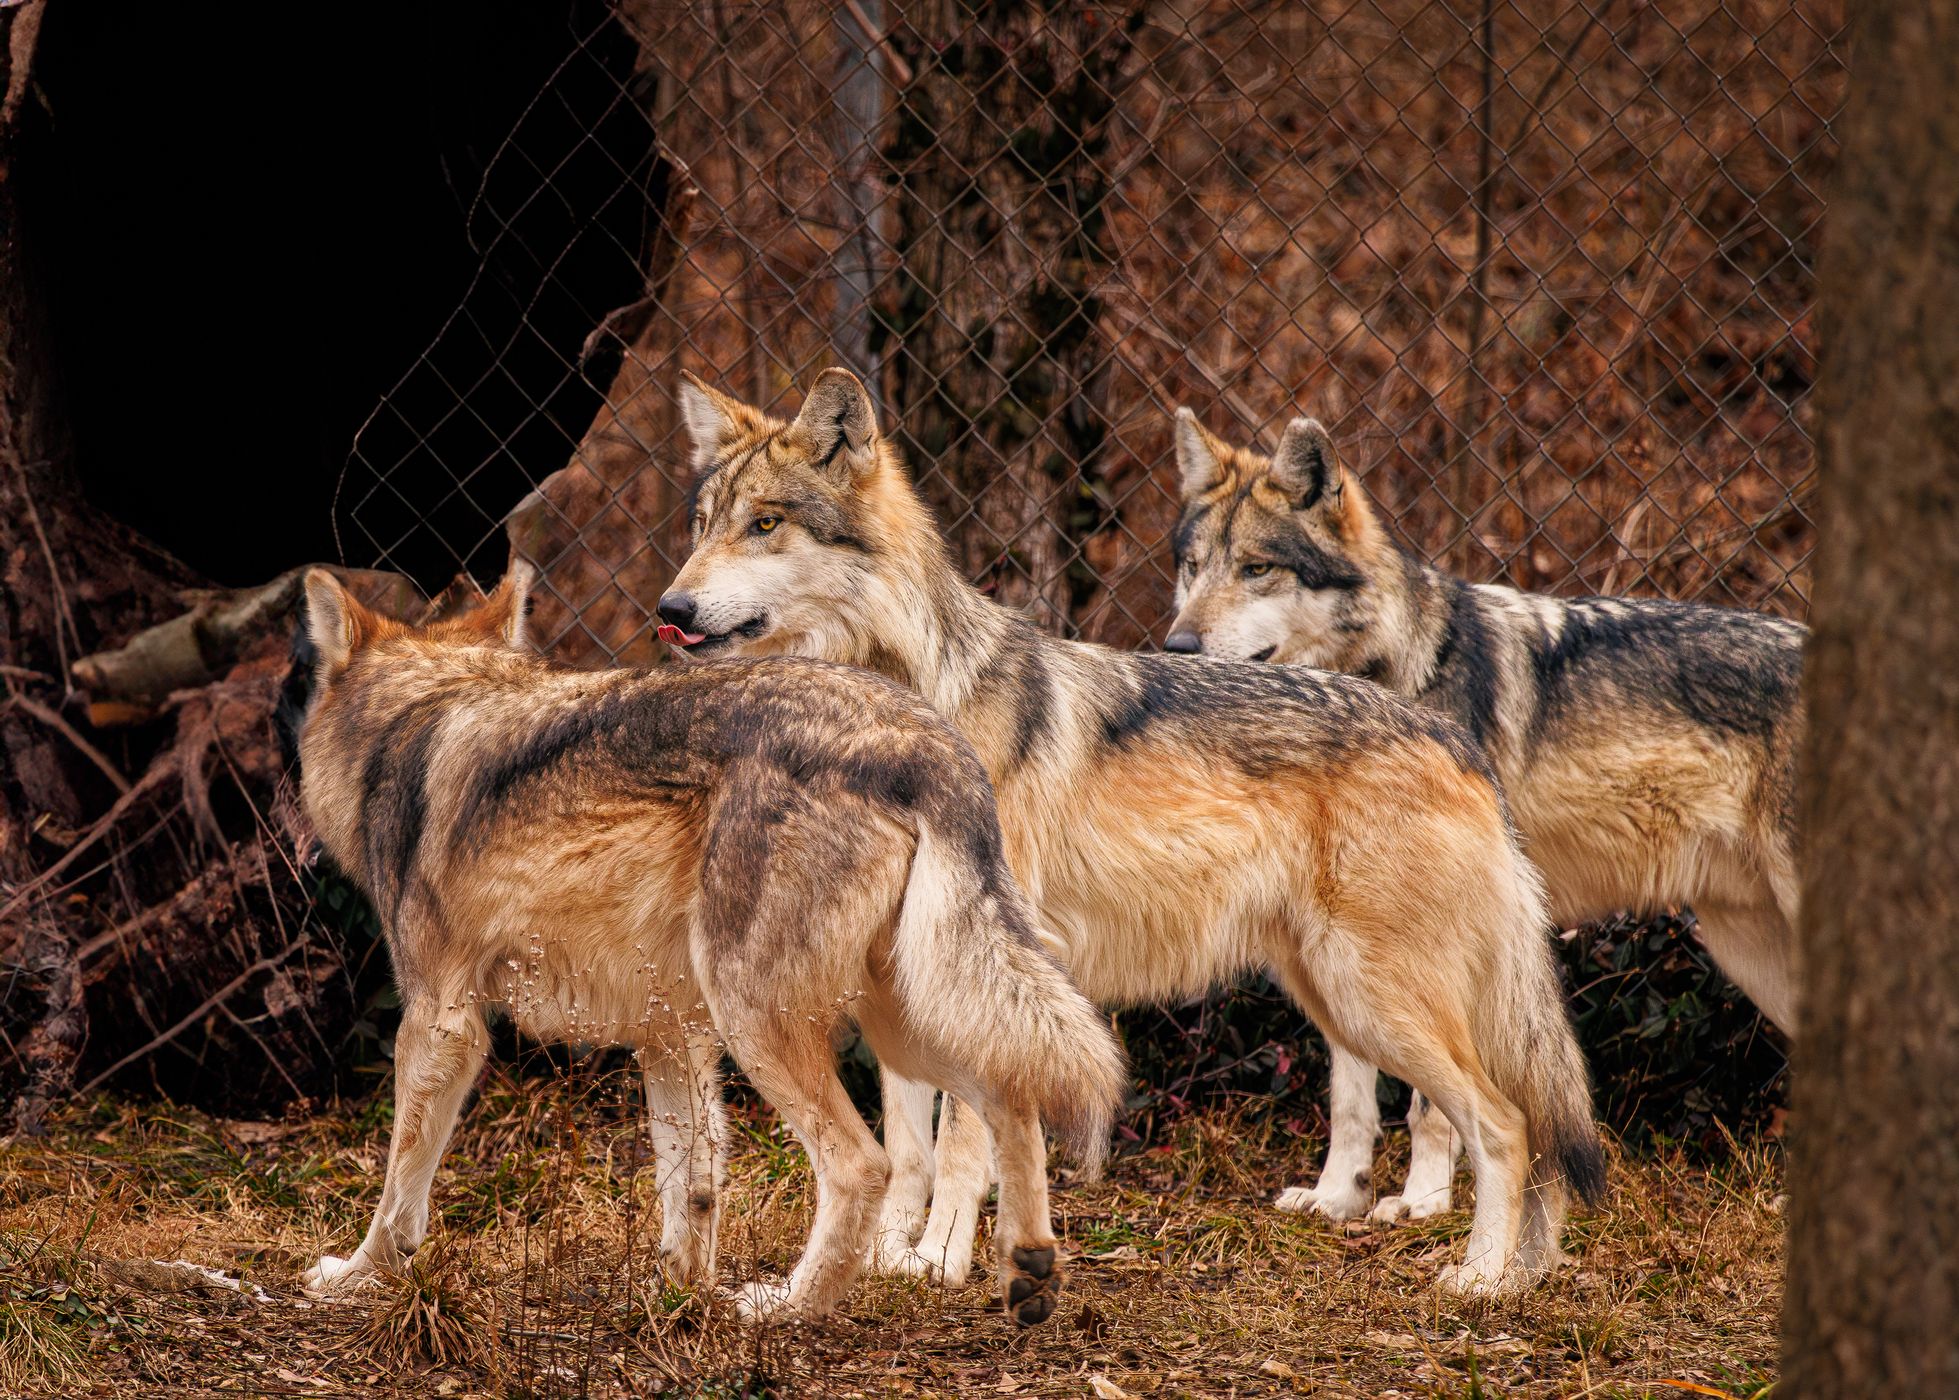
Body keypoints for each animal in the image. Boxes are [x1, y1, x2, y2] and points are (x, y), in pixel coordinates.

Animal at [293, 564, 1122, 1325]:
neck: (417, 717)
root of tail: (929, 744)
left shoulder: (441, 1022)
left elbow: (400, 1187)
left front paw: (356, 1275)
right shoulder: (671, 1035)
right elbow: (691, 1187)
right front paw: (674, 1300)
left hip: (766, 1019)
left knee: (864, 1164)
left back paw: (787, 1307)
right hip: (901, 1021)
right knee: (1014, 1090)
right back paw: (1028, 1268)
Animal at [651, 367, 1607, 1296]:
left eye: (764, 524)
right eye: (701, 524)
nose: (672, 606)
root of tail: (1452, 739)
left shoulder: (982, 955)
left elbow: (961, 1141)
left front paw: (939, 1260)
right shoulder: (904, 970)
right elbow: (908, 1144)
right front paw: (887, 1256)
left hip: (1377, 998)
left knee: (1506, 1123)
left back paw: (1479, 1281)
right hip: (1338, 997)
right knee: (1528, 1129)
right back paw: (1525, 1274)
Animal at [1165, 408, 1803, 1217]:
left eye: (1256, 569)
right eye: (1193, 567)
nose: (1176, 643)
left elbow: (1427, 1104)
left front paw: (1422, 1201)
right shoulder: (1345, 931)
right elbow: (1350, 1092)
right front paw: (1337, 1197)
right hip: (1746, 948)